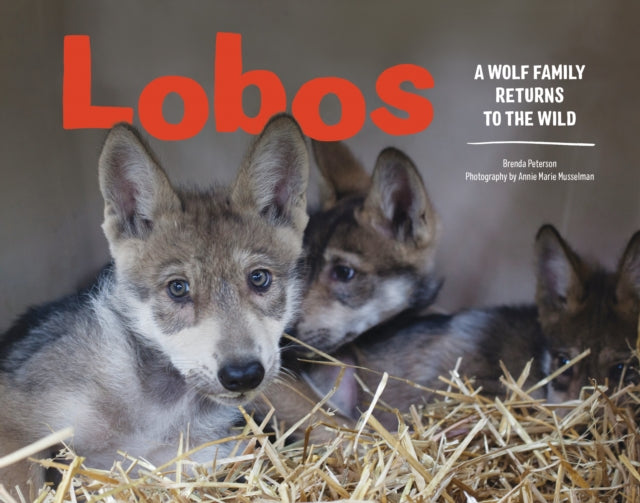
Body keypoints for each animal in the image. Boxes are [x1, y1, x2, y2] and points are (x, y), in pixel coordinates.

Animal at [0, 114, 309, 496]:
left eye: (259, 279)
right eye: (178, 288)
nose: (243, 375)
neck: (158, 413)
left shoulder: (199, 456)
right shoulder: (16, 420)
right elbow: (25, 484)